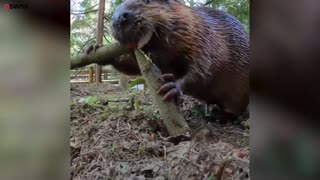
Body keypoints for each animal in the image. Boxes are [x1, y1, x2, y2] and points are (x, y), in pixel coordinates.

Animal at [88, 0, 250, 120]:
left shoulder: (205, 40)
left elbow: (203, 70)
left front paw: (171, 86)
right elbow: (133, 66)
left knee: (236, 109)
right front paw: (95, 48)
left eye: (147, 1)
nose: (118, 19)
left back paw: (220, 115)